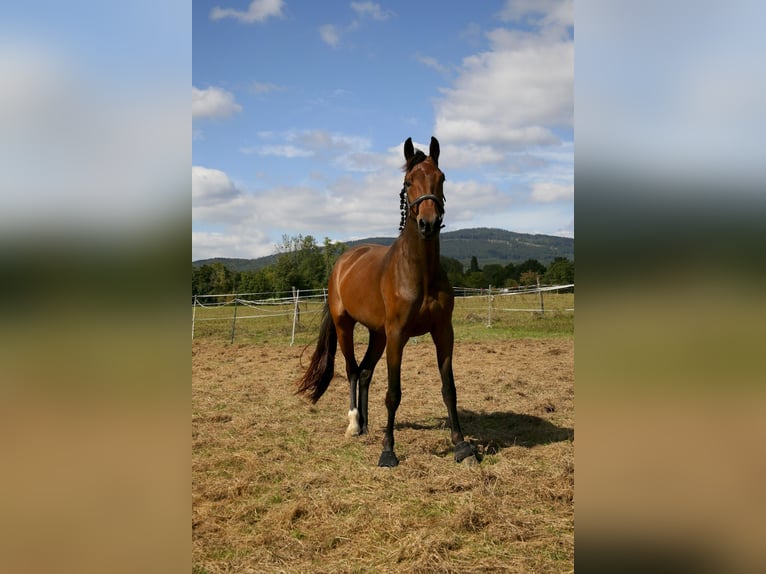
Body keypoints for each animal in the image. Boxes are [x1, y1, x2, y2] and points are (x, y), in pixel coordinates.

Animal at [296, 136, 476, 468]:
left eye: (442, 178)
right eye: (408, 182)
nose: (428, 223)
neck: (419, 272)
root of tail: (342, 263)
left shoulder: (443, 332)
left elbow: (449, 389)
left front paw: (461, 446)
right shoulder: (397, 336)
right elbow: (393, 393)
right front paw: (388, 451)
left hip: (377, 334)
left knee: (366, 372)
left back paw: (366, 424)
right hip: (346, 326)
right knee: (353, 370)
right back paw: (354, 424)